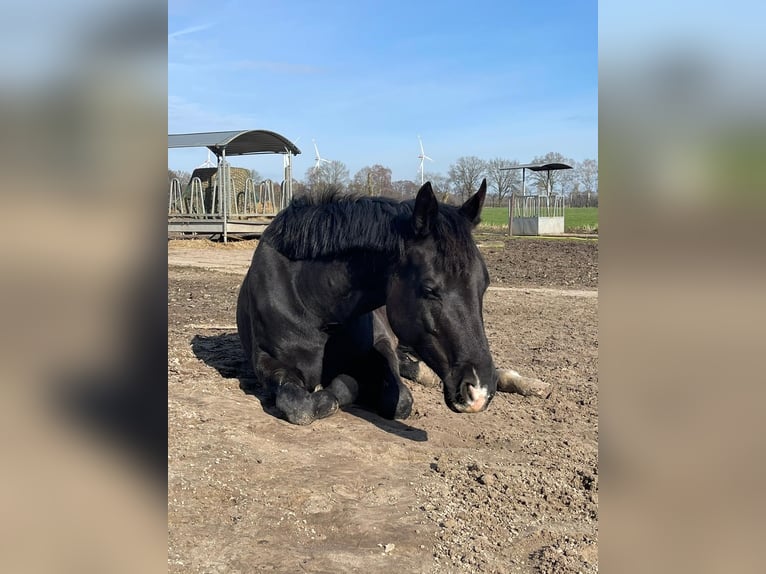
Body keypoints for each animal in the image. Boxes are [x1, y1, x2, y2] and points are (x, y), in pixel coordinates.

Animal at [238, 181, 552, 428]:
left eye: (484, 284)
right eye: (429, 288)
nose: (478, 391)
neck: (313, 304)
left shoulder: (382, 345)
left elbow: (396, 399)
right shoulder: (266, 362)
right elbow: (299, 406)